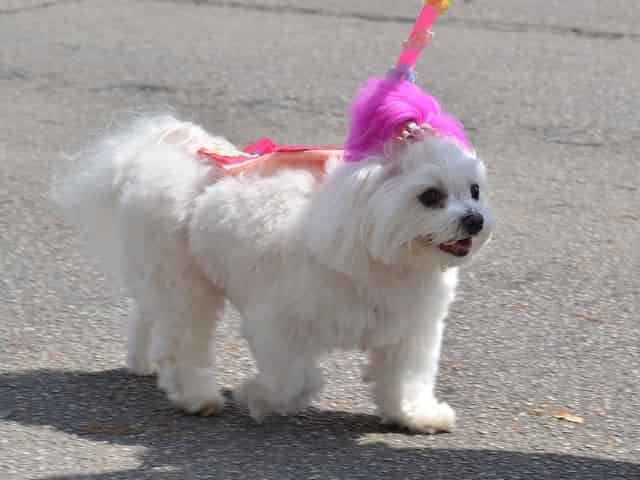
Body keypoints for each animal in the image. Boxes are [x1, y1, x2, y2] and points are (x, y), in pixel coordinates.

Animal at [56, 76, 496, 436]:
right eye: (431, 196)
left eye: (474, 191)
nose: (474, 220)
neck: (384, 260)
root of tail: (168, 154)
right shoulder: (277, 325)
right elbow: (295, 381)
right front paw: (257, 396)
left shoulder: (409, 331)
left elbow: (406, 378)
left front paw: (414, 415)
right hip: (185, 285)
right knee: (182, 339)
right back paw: (196, 395)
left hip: (166, 277)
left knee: (149, 315)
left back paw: (143, 361)